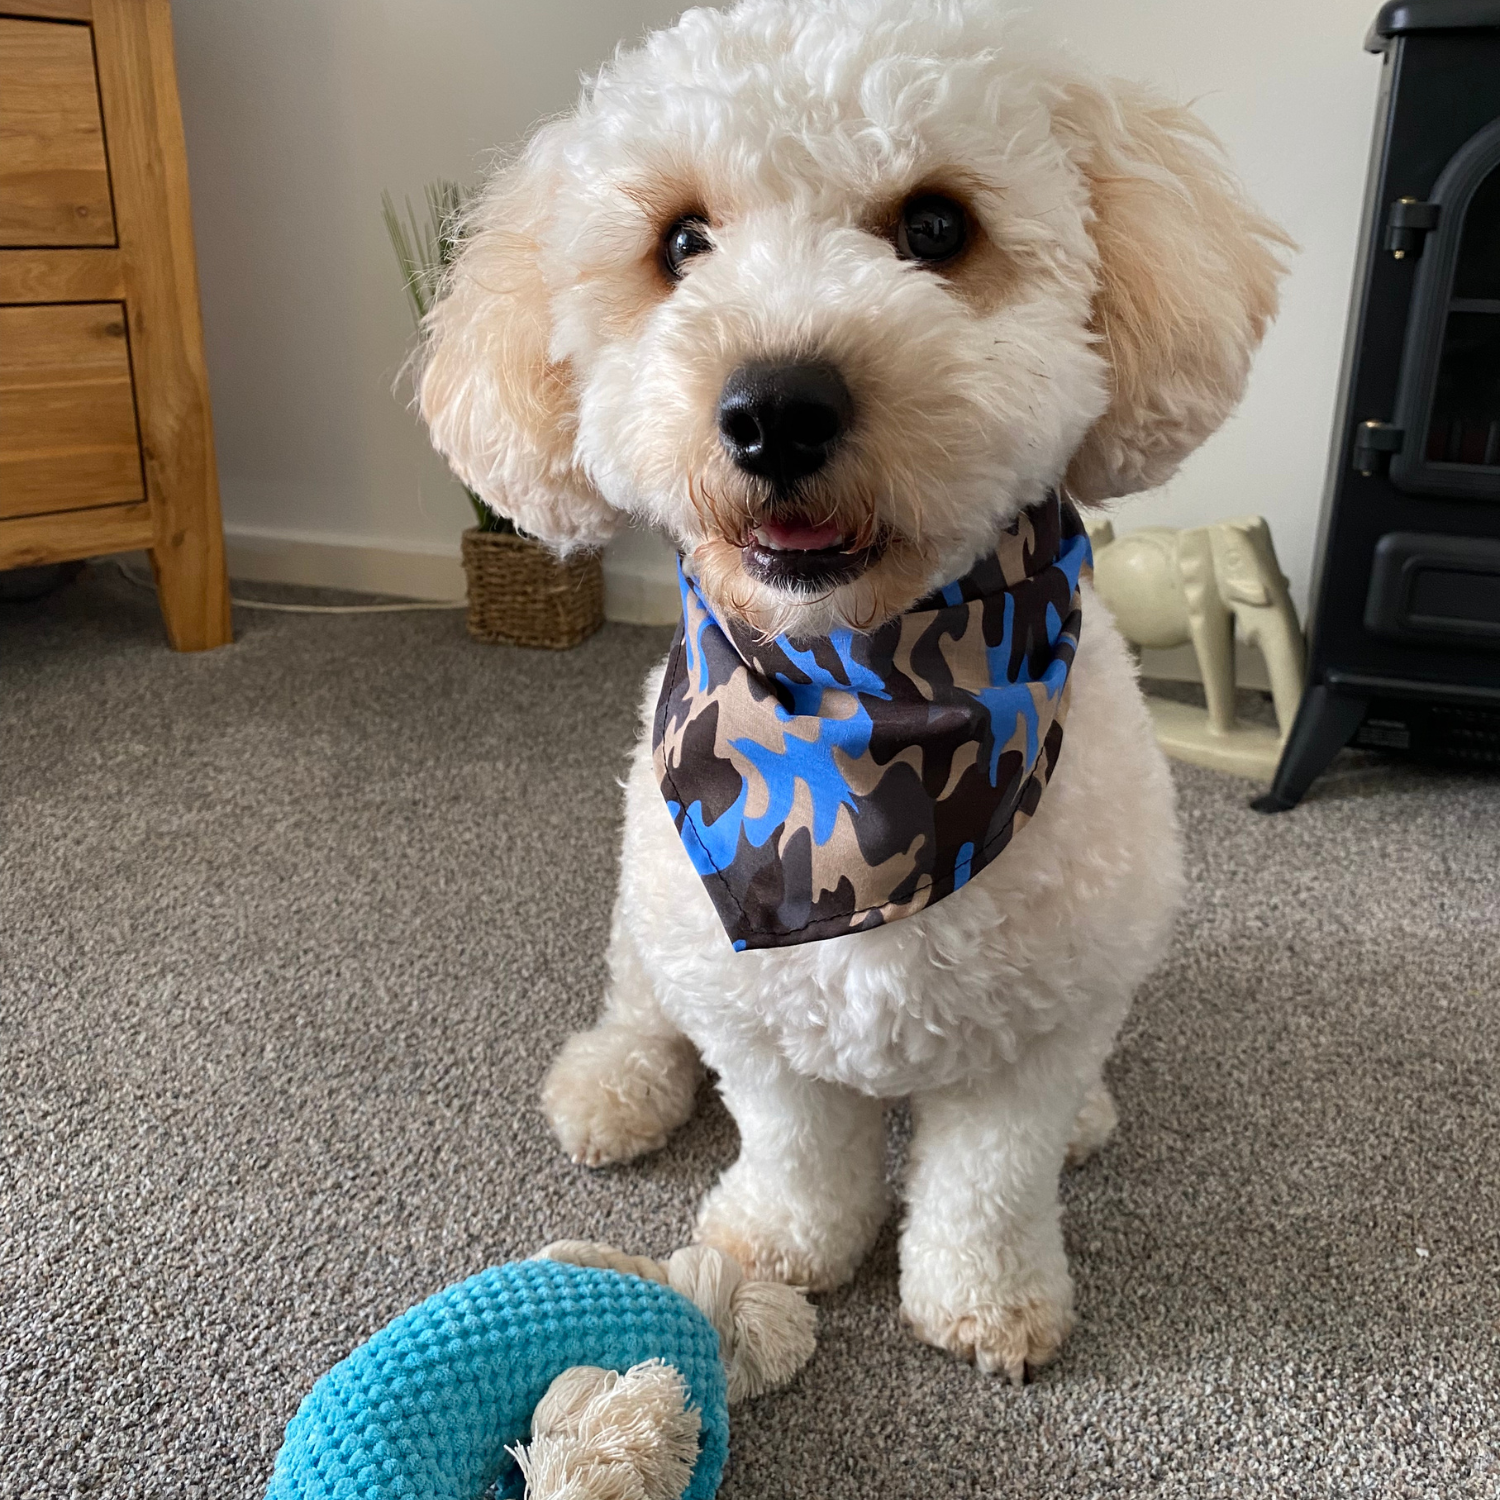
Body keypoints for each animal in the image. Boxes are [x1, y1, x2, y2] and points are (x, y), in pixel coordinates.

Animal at [423, 0, 1290, 1380]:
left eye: (937, 227)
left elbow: (991, 1180)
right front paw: (782, 1247)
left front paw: (986, 1300)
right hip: (649, 915)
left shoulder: (1038, 1031)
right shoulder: (753, 999)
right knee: (638, 1006)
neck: (862, 694)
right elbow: (792, 1139)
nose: (775, 409)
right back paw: (613, 1086)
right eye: (682, 242)